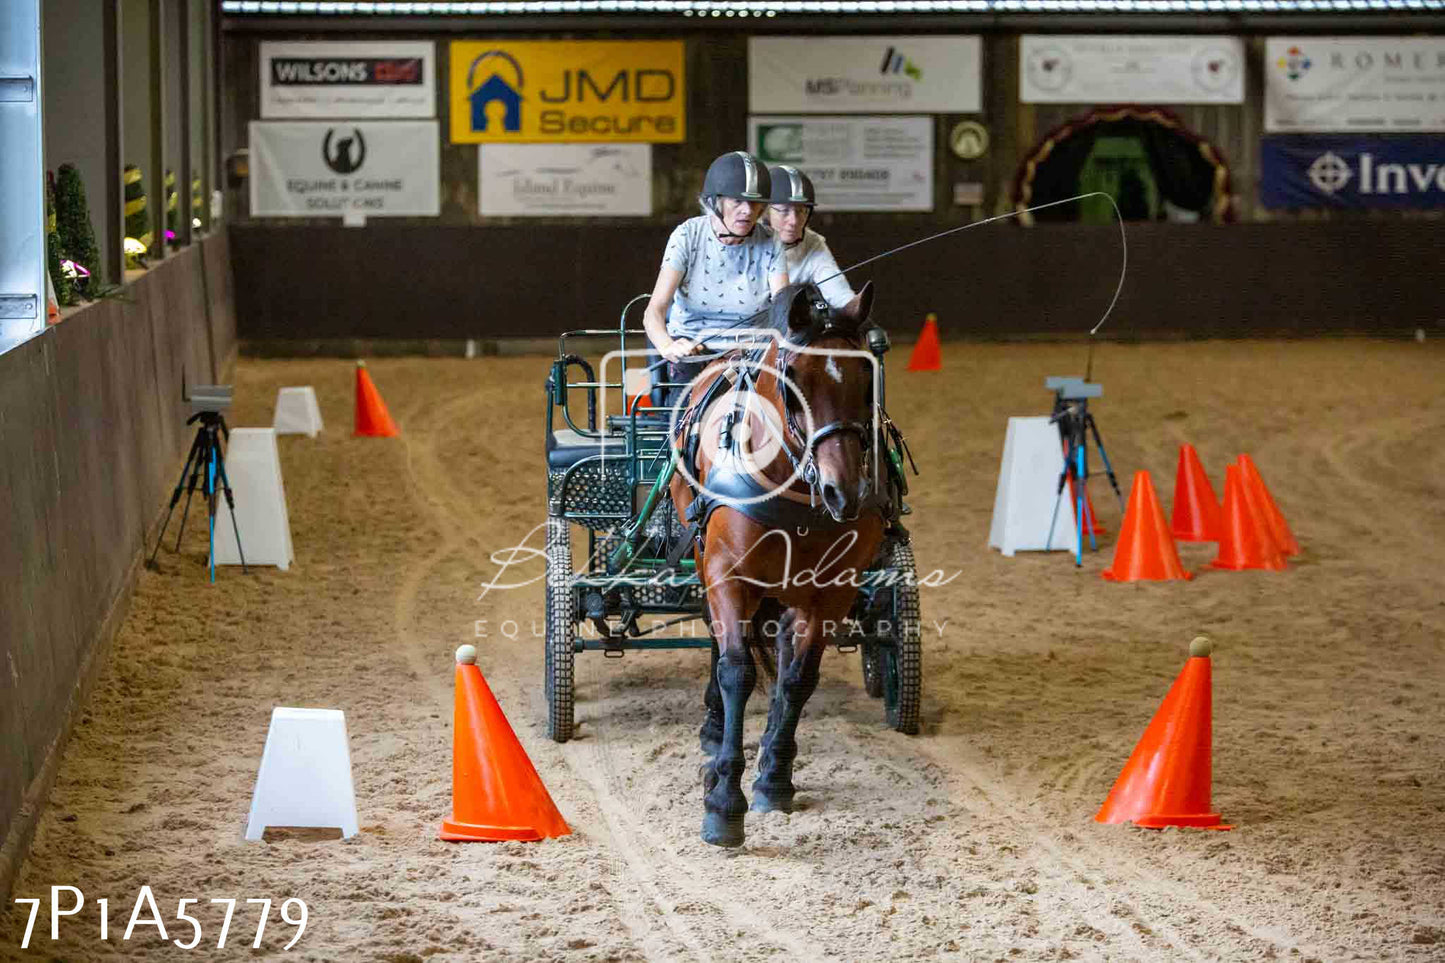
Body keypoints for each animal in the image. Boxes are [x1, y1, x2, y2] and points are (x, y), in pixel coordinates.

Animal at [667, 279, 890, 850]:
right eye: (794, 384)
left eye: (867, 378)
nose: (843, 491)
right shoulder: (727, 574)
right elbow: (736, 669)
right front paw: (723, 802)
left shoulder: (834, 589)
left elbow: (798, 679)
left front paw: (773, 778)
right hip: (703, 558)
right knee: (719, 640)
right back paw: (713, 727)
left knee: (786, 647)